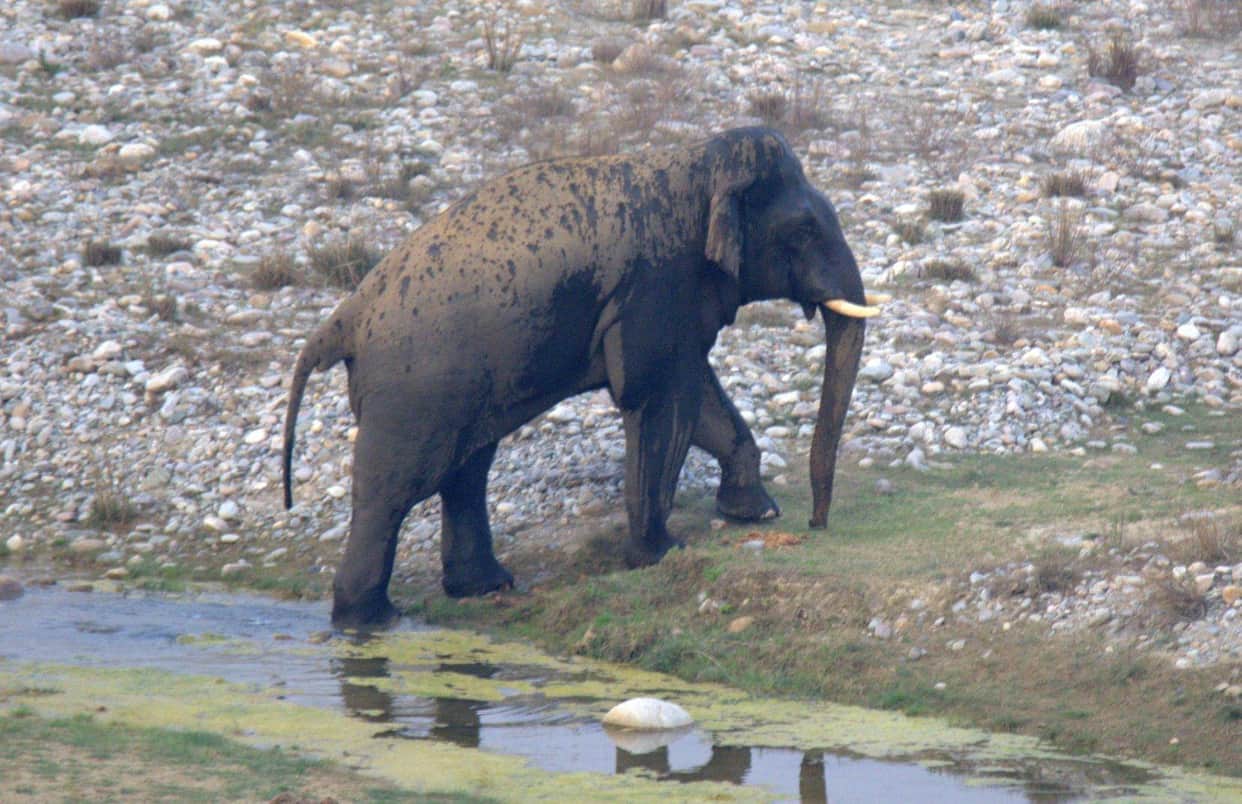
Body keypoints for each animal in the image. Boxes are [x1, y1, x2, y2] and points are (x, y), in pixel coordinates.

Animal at [283, 127, 881, 627]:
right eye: (805, 230)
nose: (816, 524)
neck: (696, 163)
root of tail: (343, 318)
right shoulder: (654, 282)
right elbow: (655, 396)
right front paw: (663, 554)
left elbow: (696, 392)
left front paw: (753, 512)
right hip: (413, 392)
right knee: (394, 493)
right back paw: (371, 621)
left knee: (465, 472)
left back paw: (485, 588)